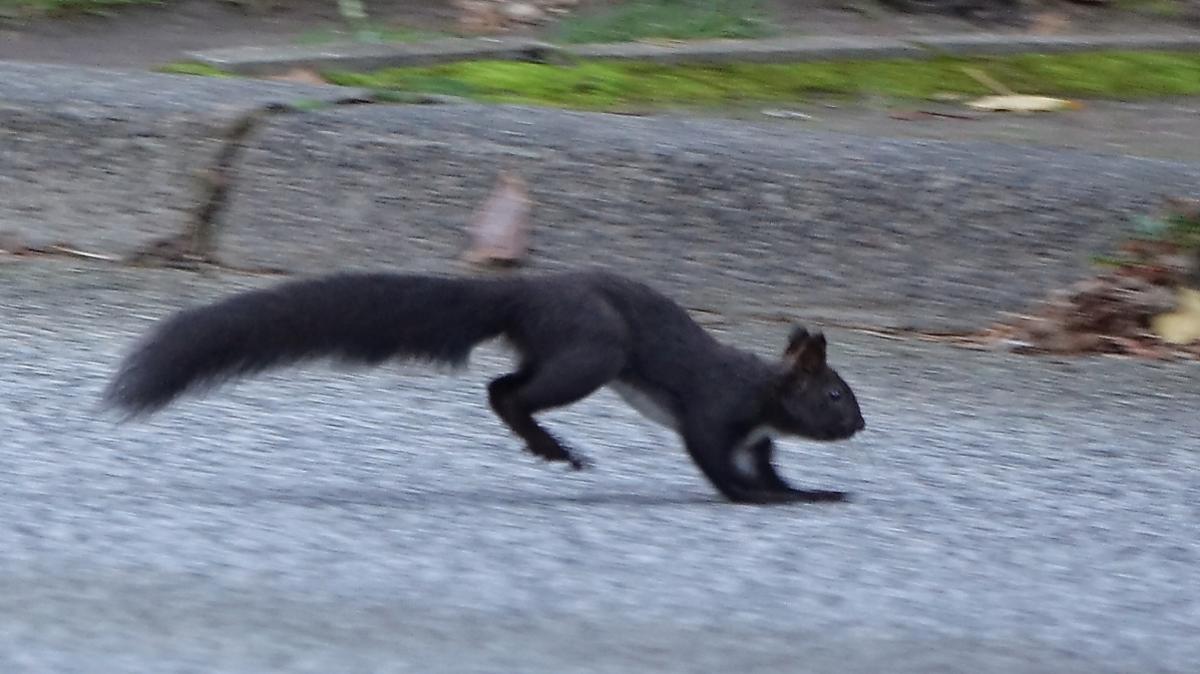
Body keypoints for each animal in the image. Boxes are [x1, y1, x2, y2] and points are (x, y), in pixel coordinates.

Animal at [103, 269, 864, 501]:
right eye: (835, 394)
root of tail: (524, 292)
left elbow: (768, 468)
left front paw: (808, 494)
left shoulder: (758, 438)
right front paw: (753, 499)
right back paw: (552, 446)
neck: (764, 397)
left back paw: (545, 446)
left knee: (506, 387)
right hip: (593, 351)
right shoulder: (714, 411)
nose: (860, 427)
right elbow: (714, 459)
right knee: (507, 391)